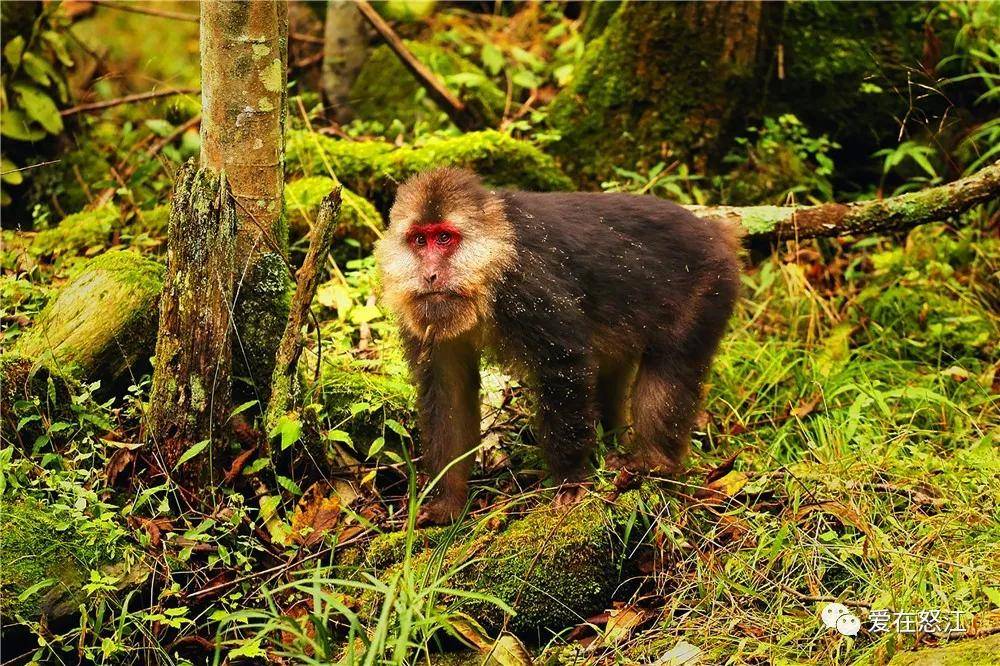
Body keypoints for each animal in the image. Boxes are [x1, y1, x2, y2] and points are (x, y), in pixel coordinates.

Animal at [376, 166, 744, 524]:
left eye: (444, 238)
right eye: (419, 240)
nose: (430, 276)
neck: (494, 264)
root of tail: (715, 232)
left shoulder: (527, 284)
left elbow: (562, 363)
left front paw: (570, 480)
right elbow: (447, 390)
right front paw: (448, 502)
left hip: (709, 287)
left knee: (669, 368)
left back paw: (653, 463)